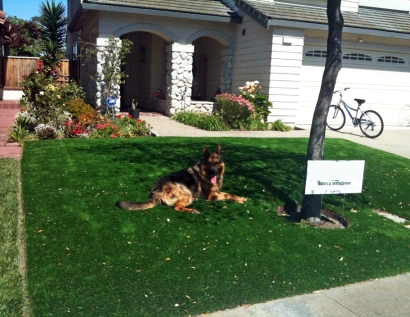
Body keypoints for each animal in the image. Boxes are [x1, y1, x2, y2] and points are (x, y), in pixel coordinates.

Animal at [116, 144, 247, 214]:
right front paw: (240, 199)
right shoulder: (213, 196)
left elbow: (231, 194)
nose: (214, 171)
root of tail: (155, 192)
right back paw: (192, 210)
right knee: (177, 207)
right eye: (209, 164)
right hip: (186, 192)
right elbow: (228, 195)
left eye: (217, 163)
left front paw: (241, 198)